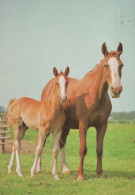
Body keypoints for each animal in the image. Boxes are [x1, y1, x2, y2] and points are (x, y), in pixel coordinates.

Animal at [40, 42, 123, 180]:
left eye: (121, 65)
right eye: (106, 65)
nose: (116, 90)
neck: (93, 95)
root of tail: (49, 84)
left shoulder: (102, 125)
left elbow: (99, 149)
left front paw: (100, 174)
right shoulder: (83, 124)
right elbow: (83, 149)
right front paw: (80, 175)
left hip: (65, 126)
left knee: (62, 143)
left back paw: (65, 169)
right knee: (43, 141)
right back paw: (39, 168)